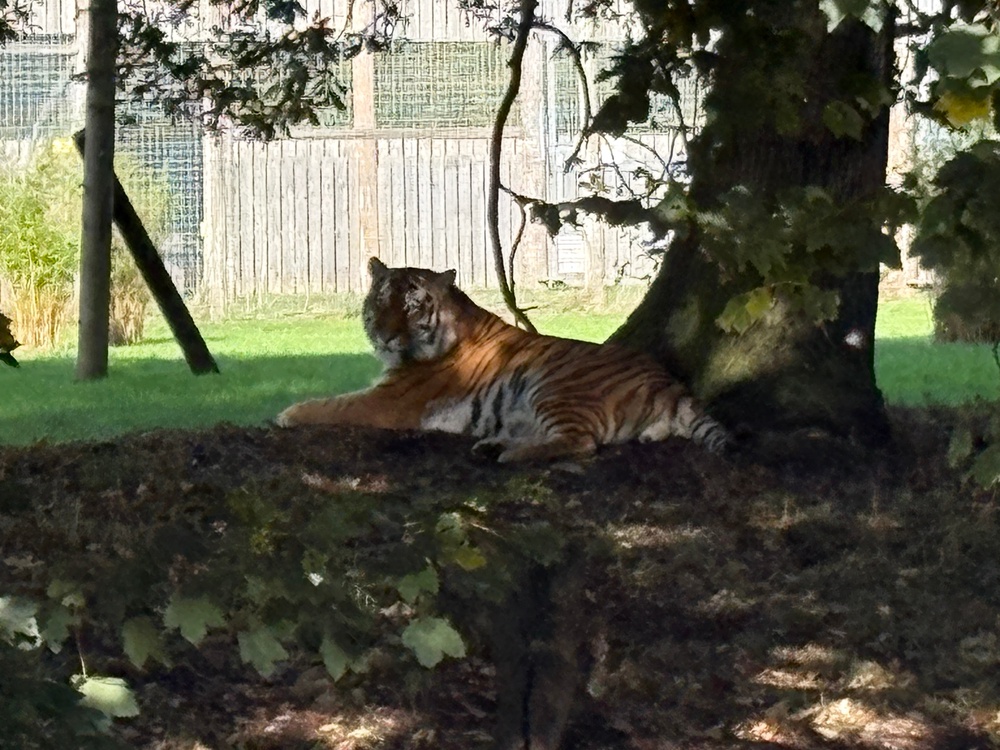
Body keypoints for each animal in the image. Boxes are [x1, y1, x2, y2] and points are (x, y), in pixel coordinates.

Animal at [275, 257, 731, 462]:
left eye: (411, 306)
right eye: (381, 301)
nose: (385, 335)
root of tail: (669, 382)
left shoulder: (388, 400)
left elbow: (332, 404)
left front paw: (287, 413)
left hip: (554, 387)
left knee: (581, 442)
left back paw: (508, 454)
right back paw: (494, 443)